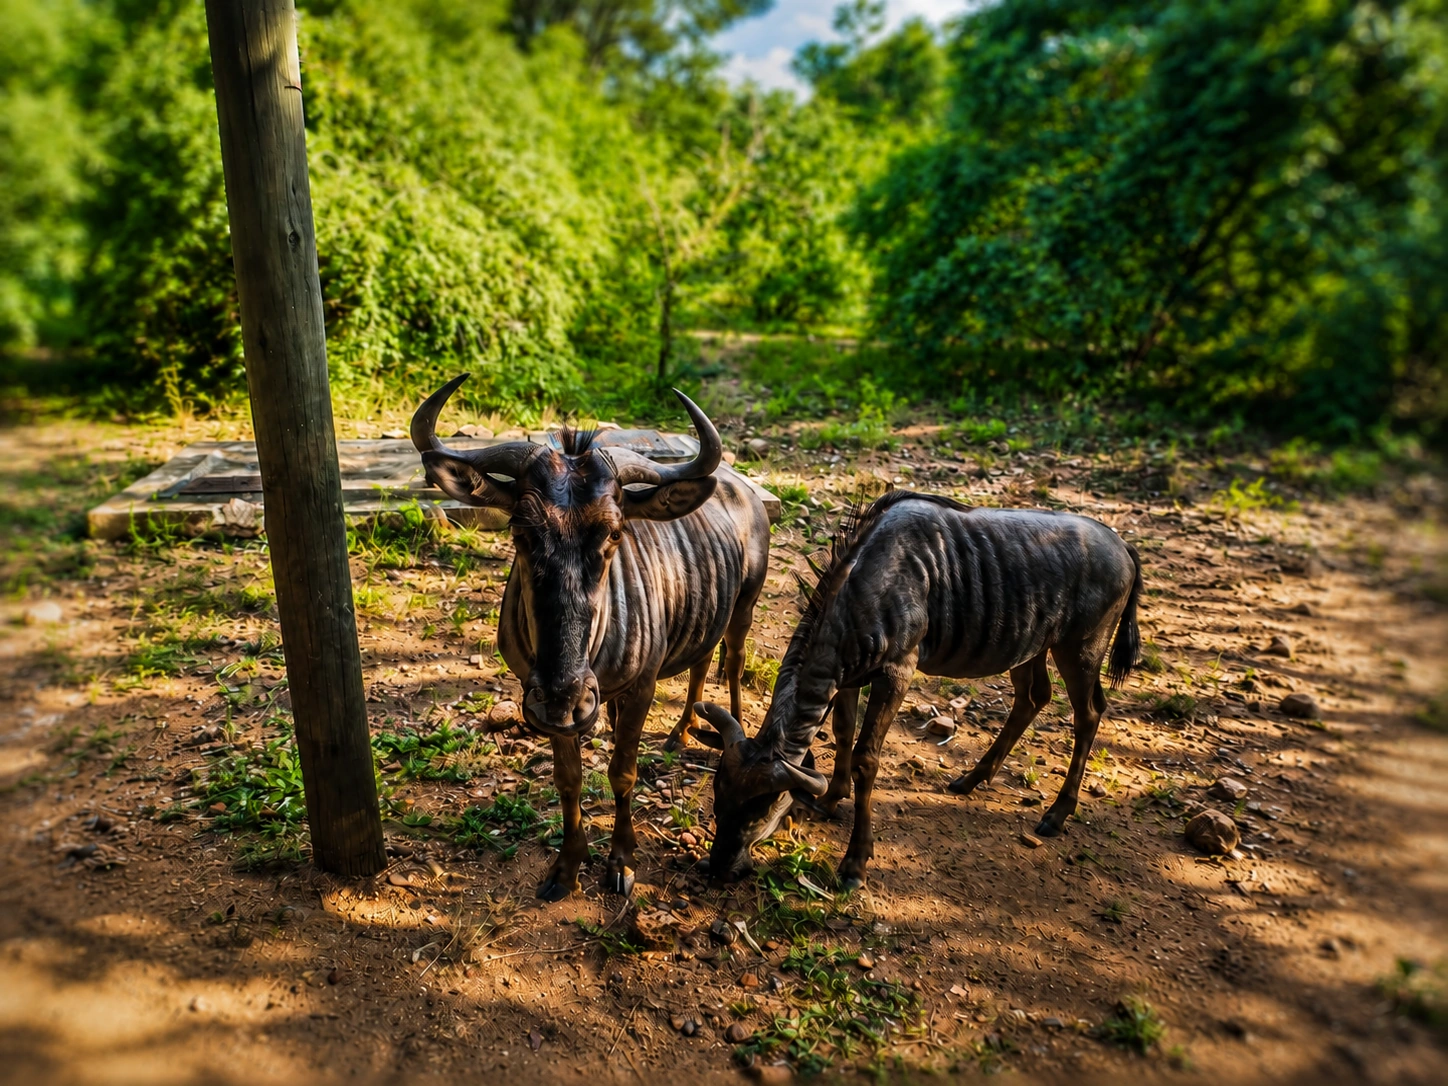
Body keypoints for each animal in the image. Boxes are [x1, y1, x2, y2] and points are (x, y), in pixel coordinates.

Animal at [412, 375, 768, 899]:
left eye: (614, 533)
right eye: (521, 531)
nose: (565, 691)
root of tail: (742, 486)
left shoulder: (641, 688)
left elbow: (623, 772)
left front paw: (621, 860)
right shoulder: (550, 708)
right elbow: (569, 779)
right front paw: (568, 865)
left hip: (744, 606)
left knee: (735, 658)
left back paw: (733, 730)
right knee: (702, 661)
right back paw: (681, 731)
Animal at [697, 490, 1141, 889]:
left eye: (763, 807)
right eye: (718, 792)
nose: (720, 867)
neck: (866, 583)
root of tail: (1121, 544)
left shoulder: (898, 673)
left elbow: (866, 759)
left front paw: (855, 863)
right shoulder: (846, 677)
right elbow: (841, 733)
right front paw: (831, 798)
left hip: (1080, 649)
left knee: (1089, 714)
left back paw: (1057, 813)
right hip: (1029, 645)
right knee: (1033, 697)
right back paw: (972, 779)